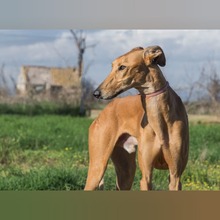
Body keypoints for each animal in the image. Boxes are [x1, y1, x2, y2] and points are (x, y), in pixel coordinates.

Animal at [84, 45, 189, 190]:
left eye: (122, 67)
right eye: (112, 66)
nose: (96, 93)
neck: (160, 118)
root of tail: (105, 111)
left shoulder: (175, 176)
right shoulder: (146, 176)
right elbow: (145, 178)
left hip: (126, 171)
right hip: (98, 166)